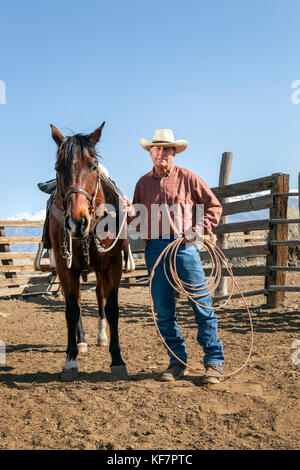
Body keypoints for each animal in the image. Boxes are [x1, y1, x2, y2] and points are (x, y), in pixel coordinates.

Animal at [48, 122, 127, 382]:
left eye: (93, 166)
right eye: (58, 167)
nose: (77, 222)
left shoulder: (112, 266)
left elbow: (111, 309)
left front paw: (117, 359)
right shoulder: (66, 268)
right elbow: (72, 311)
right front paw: (70, 359)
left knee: (100, 297)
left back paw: (101, 337)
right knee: (79, 304)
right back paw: (81, 342)